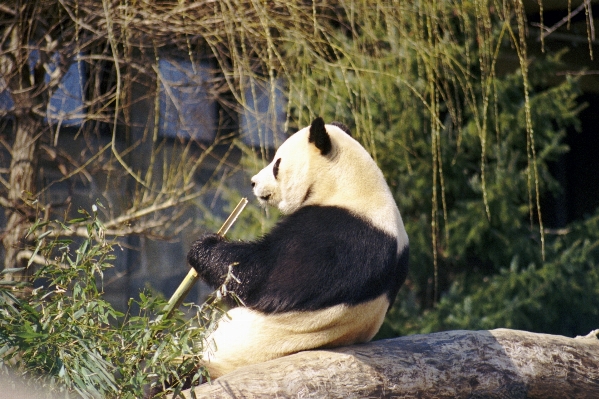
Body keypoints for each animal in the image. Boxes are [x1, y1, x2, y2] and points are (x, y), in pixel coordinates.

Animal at [190, 117, 410, 380]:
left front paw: (204, 246)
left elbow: (260, 275)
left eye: (277, 164)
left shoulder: (338, 236)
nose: (253, 182)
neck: (350, 183)